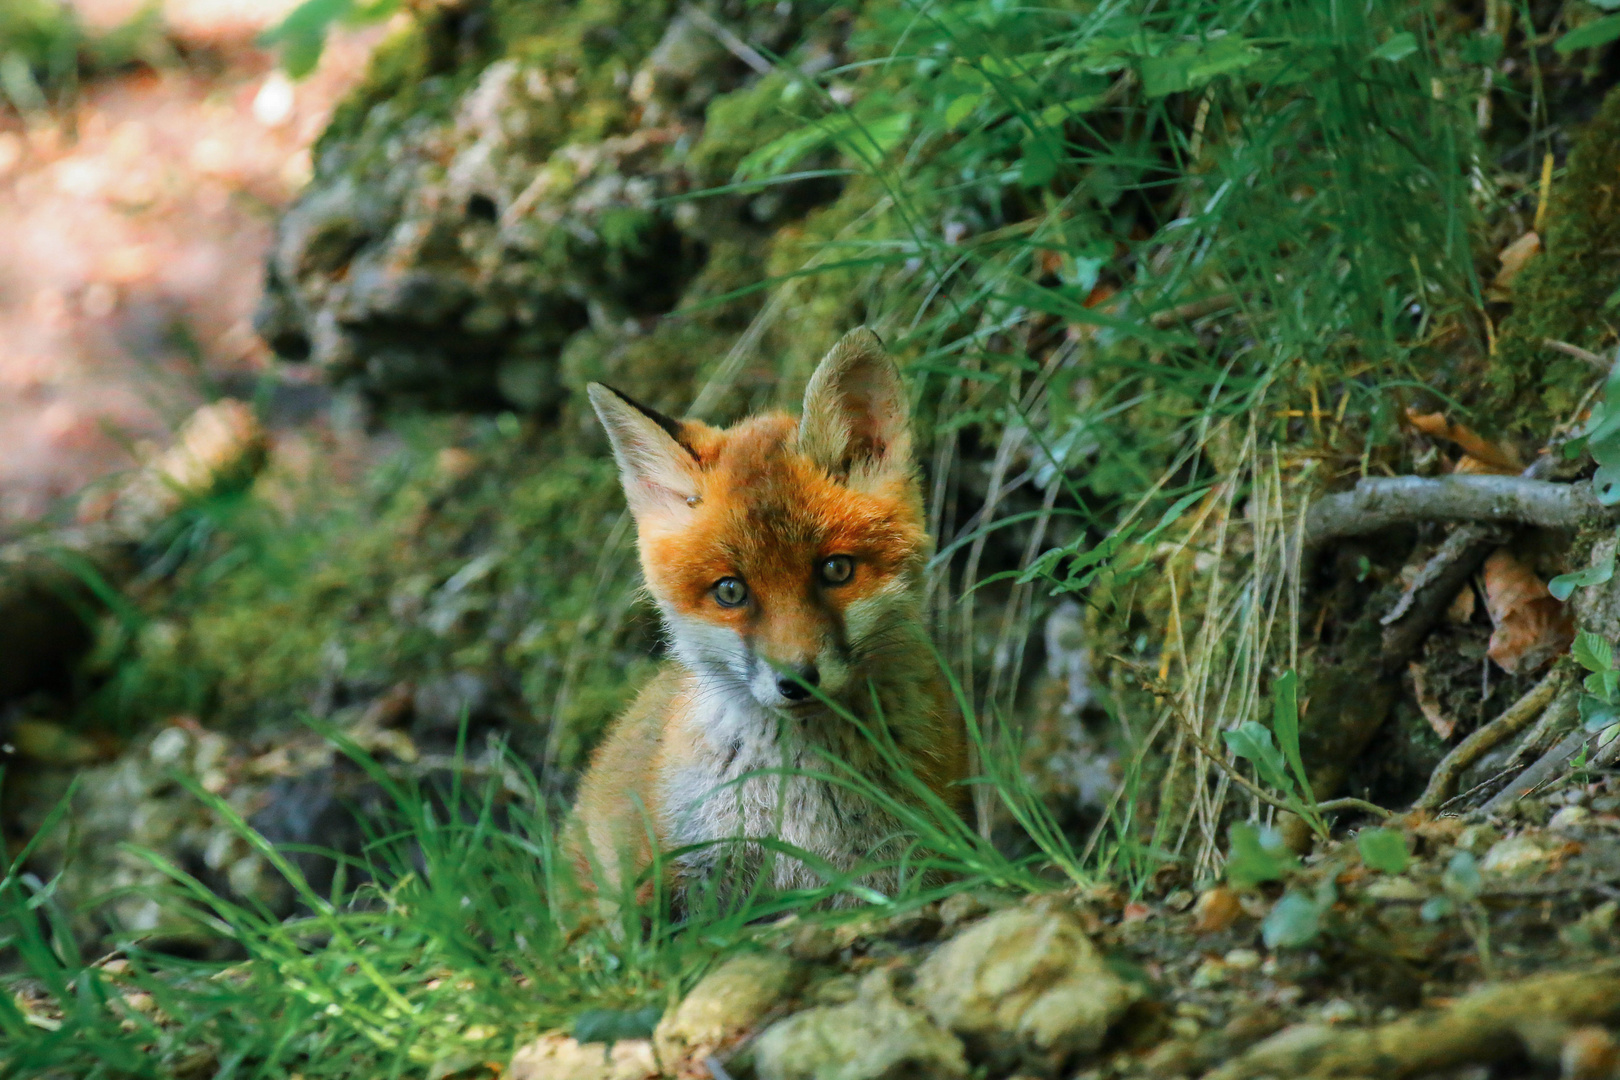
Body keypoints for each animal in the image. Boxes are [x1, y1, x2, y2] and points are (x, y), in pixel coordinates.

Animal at [570, 327, 965, 906]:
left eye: (836, 570)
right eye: (731, 591)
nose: (798, 682)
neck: (799, 813)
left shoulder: (894, 871)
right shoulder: (688, 873)